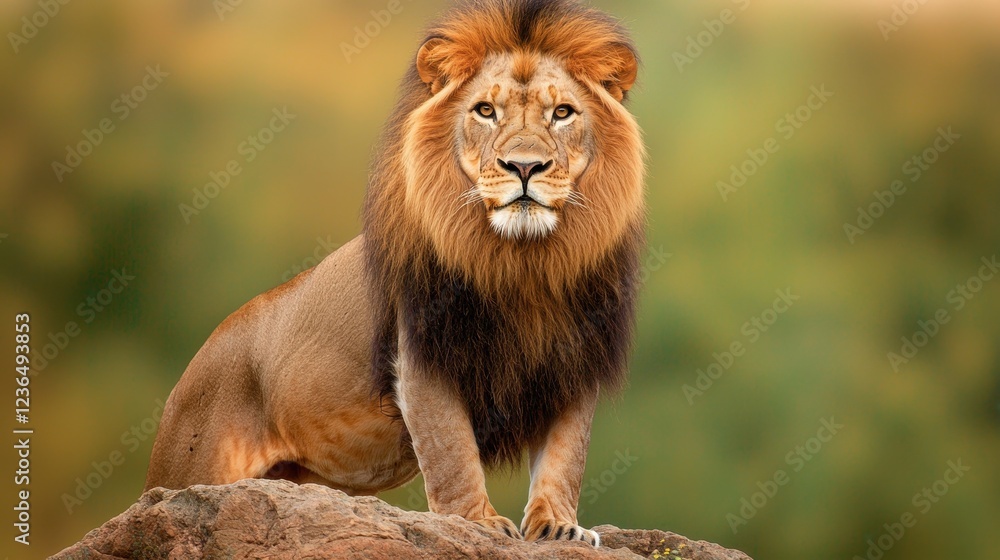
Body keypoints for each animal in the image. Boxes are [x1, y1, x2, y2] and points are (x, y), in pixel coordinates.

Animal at [146, 0, 644, 546]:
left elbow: (565, 455)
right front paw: (474, 523)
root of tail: (192, 370)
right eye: (485, 111)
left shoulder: (577, 358)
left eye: (562, 113)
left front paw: (559, 527)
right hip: (187, 466)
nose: (524, 167)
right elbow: (452, 452)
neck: (523, 263)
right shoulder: (423, 353)